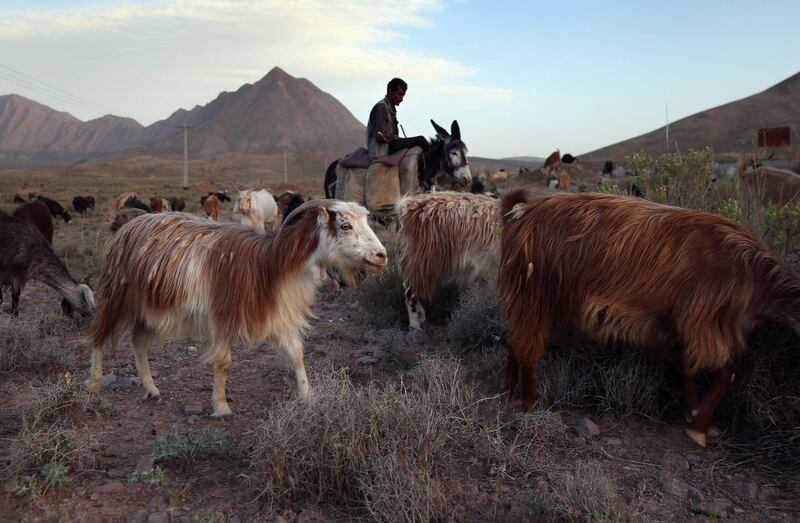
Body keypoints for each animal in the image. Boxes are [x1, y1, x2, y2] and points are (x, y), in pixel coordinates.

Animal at [90, 200, 388, 418]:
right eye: (345, 225)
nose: (382, 255)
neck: (270, 264)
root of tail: (125, 225)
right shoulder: (222, 315)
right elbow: (223, 362)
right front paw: (221, 407)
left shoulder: (278, 316)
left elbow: (297, 354)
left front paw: (308, 396)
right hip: (116, 296)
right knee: (99, 336)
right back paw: (94, 384)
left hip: (149, 307)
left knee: (139, 342)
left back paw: (151, 389)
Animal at [496, 188, 800, 446]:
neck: (754, 275)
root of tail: (522, 212)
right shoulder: (703, 323)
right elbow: (727, 372)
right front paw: (699, 427)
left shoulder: (685, 326)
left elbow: (690, 369)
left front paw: (692, 414)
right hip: (537, 294)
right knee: (527, 347)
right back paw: (530, 404)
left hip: (528, 298)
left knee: (515, 339)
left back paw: (510, 393)